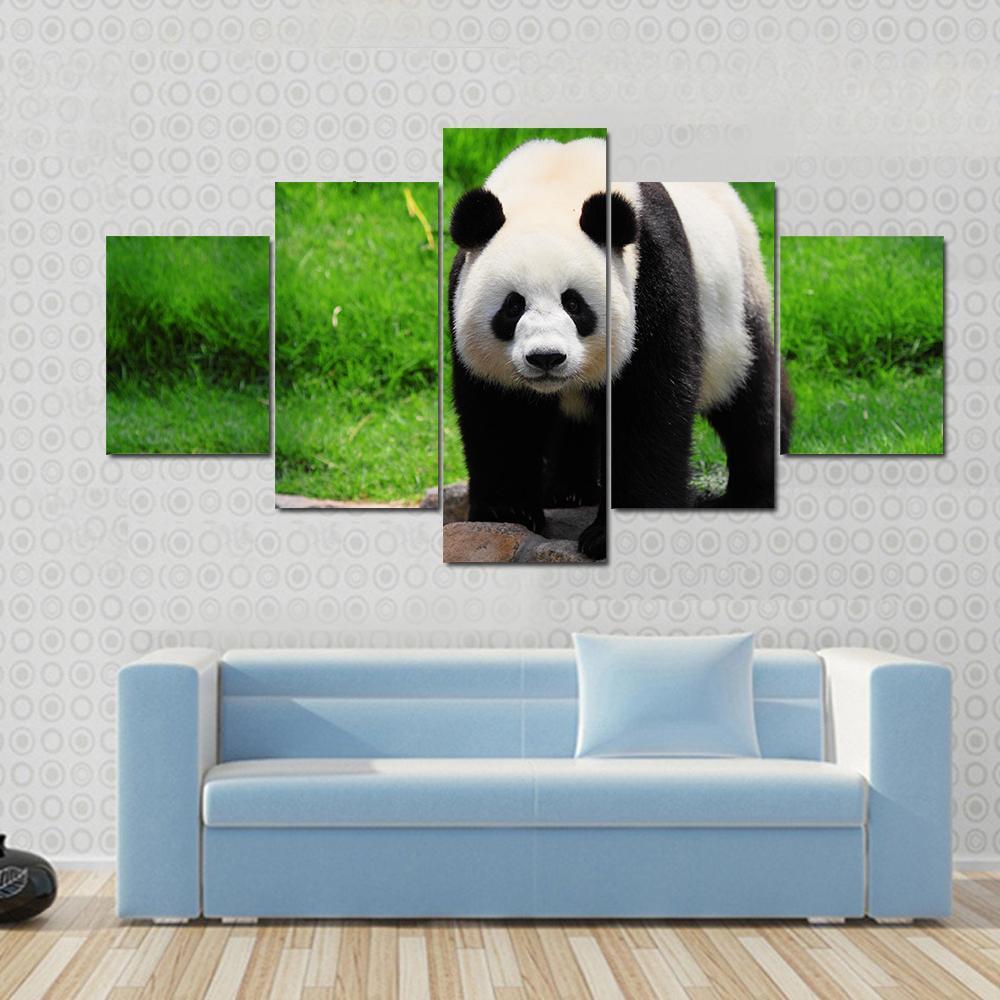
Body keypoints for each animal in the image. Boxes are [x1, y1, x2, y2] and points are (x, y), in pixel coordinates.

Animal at [448, 137, 792, 561]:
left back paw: (752, 493)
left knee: (751, 399)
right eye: (513, 306)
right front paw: (506, 512)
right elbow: (500, 414)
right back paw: (568, 490)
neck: (556, 186)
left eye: (574, 303)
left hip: (737, 306)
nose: (546, 358)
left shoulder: (652, 279)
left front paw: (611, 532)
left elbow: (647, 408)